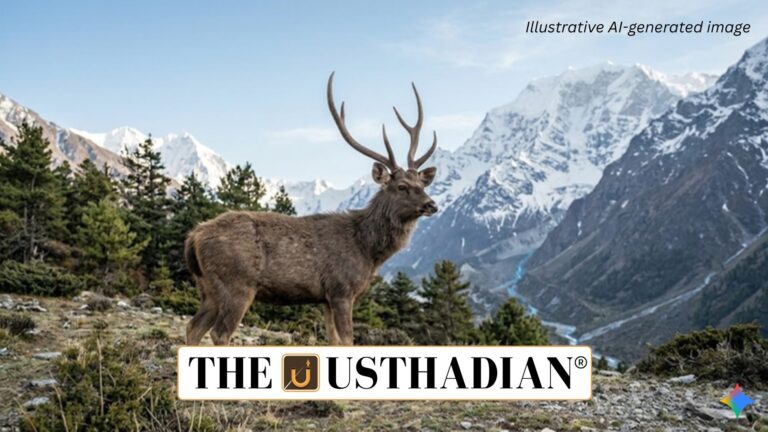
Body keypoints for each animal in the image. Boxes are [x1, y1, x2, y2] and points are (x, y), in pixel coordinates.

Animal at [184, 73, 438, 346]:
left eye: (422, 184)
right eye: (402, 186)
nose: (431, 204)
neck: (368, 251)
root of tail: (194, 236)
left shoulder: (326, 297)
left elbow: (334, 341)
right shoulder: (341, 288)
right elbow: (347, 341)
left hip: (208, 286)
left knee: (193, 327)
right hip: (237, 283)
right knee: (219, 332)